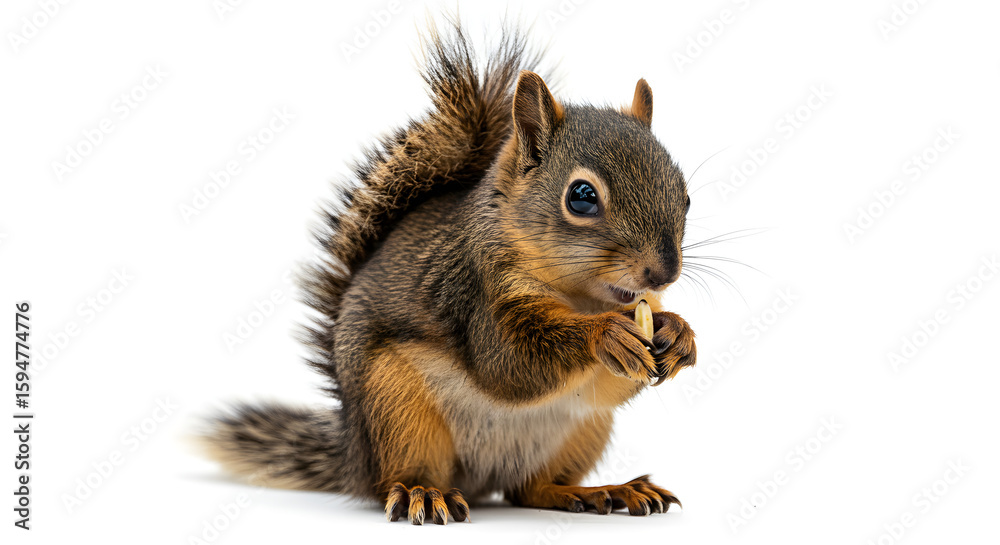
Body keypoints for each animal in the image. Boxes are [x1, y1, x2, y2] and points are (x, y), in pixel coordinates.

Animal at [199, 20, 697, 525]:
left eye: (686, 195)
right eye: (581, 197)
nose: (663, 274)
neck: (582, 298)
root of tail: (355, 455)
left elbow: (611, 384)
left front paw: (679, 334)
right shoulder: (474, 295)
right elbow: (511, 362)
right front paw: (605, 335)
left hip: (581, 432)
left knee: (530, 489)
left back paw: (604, 490)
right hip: (398, 411)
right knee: (402, 479)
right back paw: (423, 494)